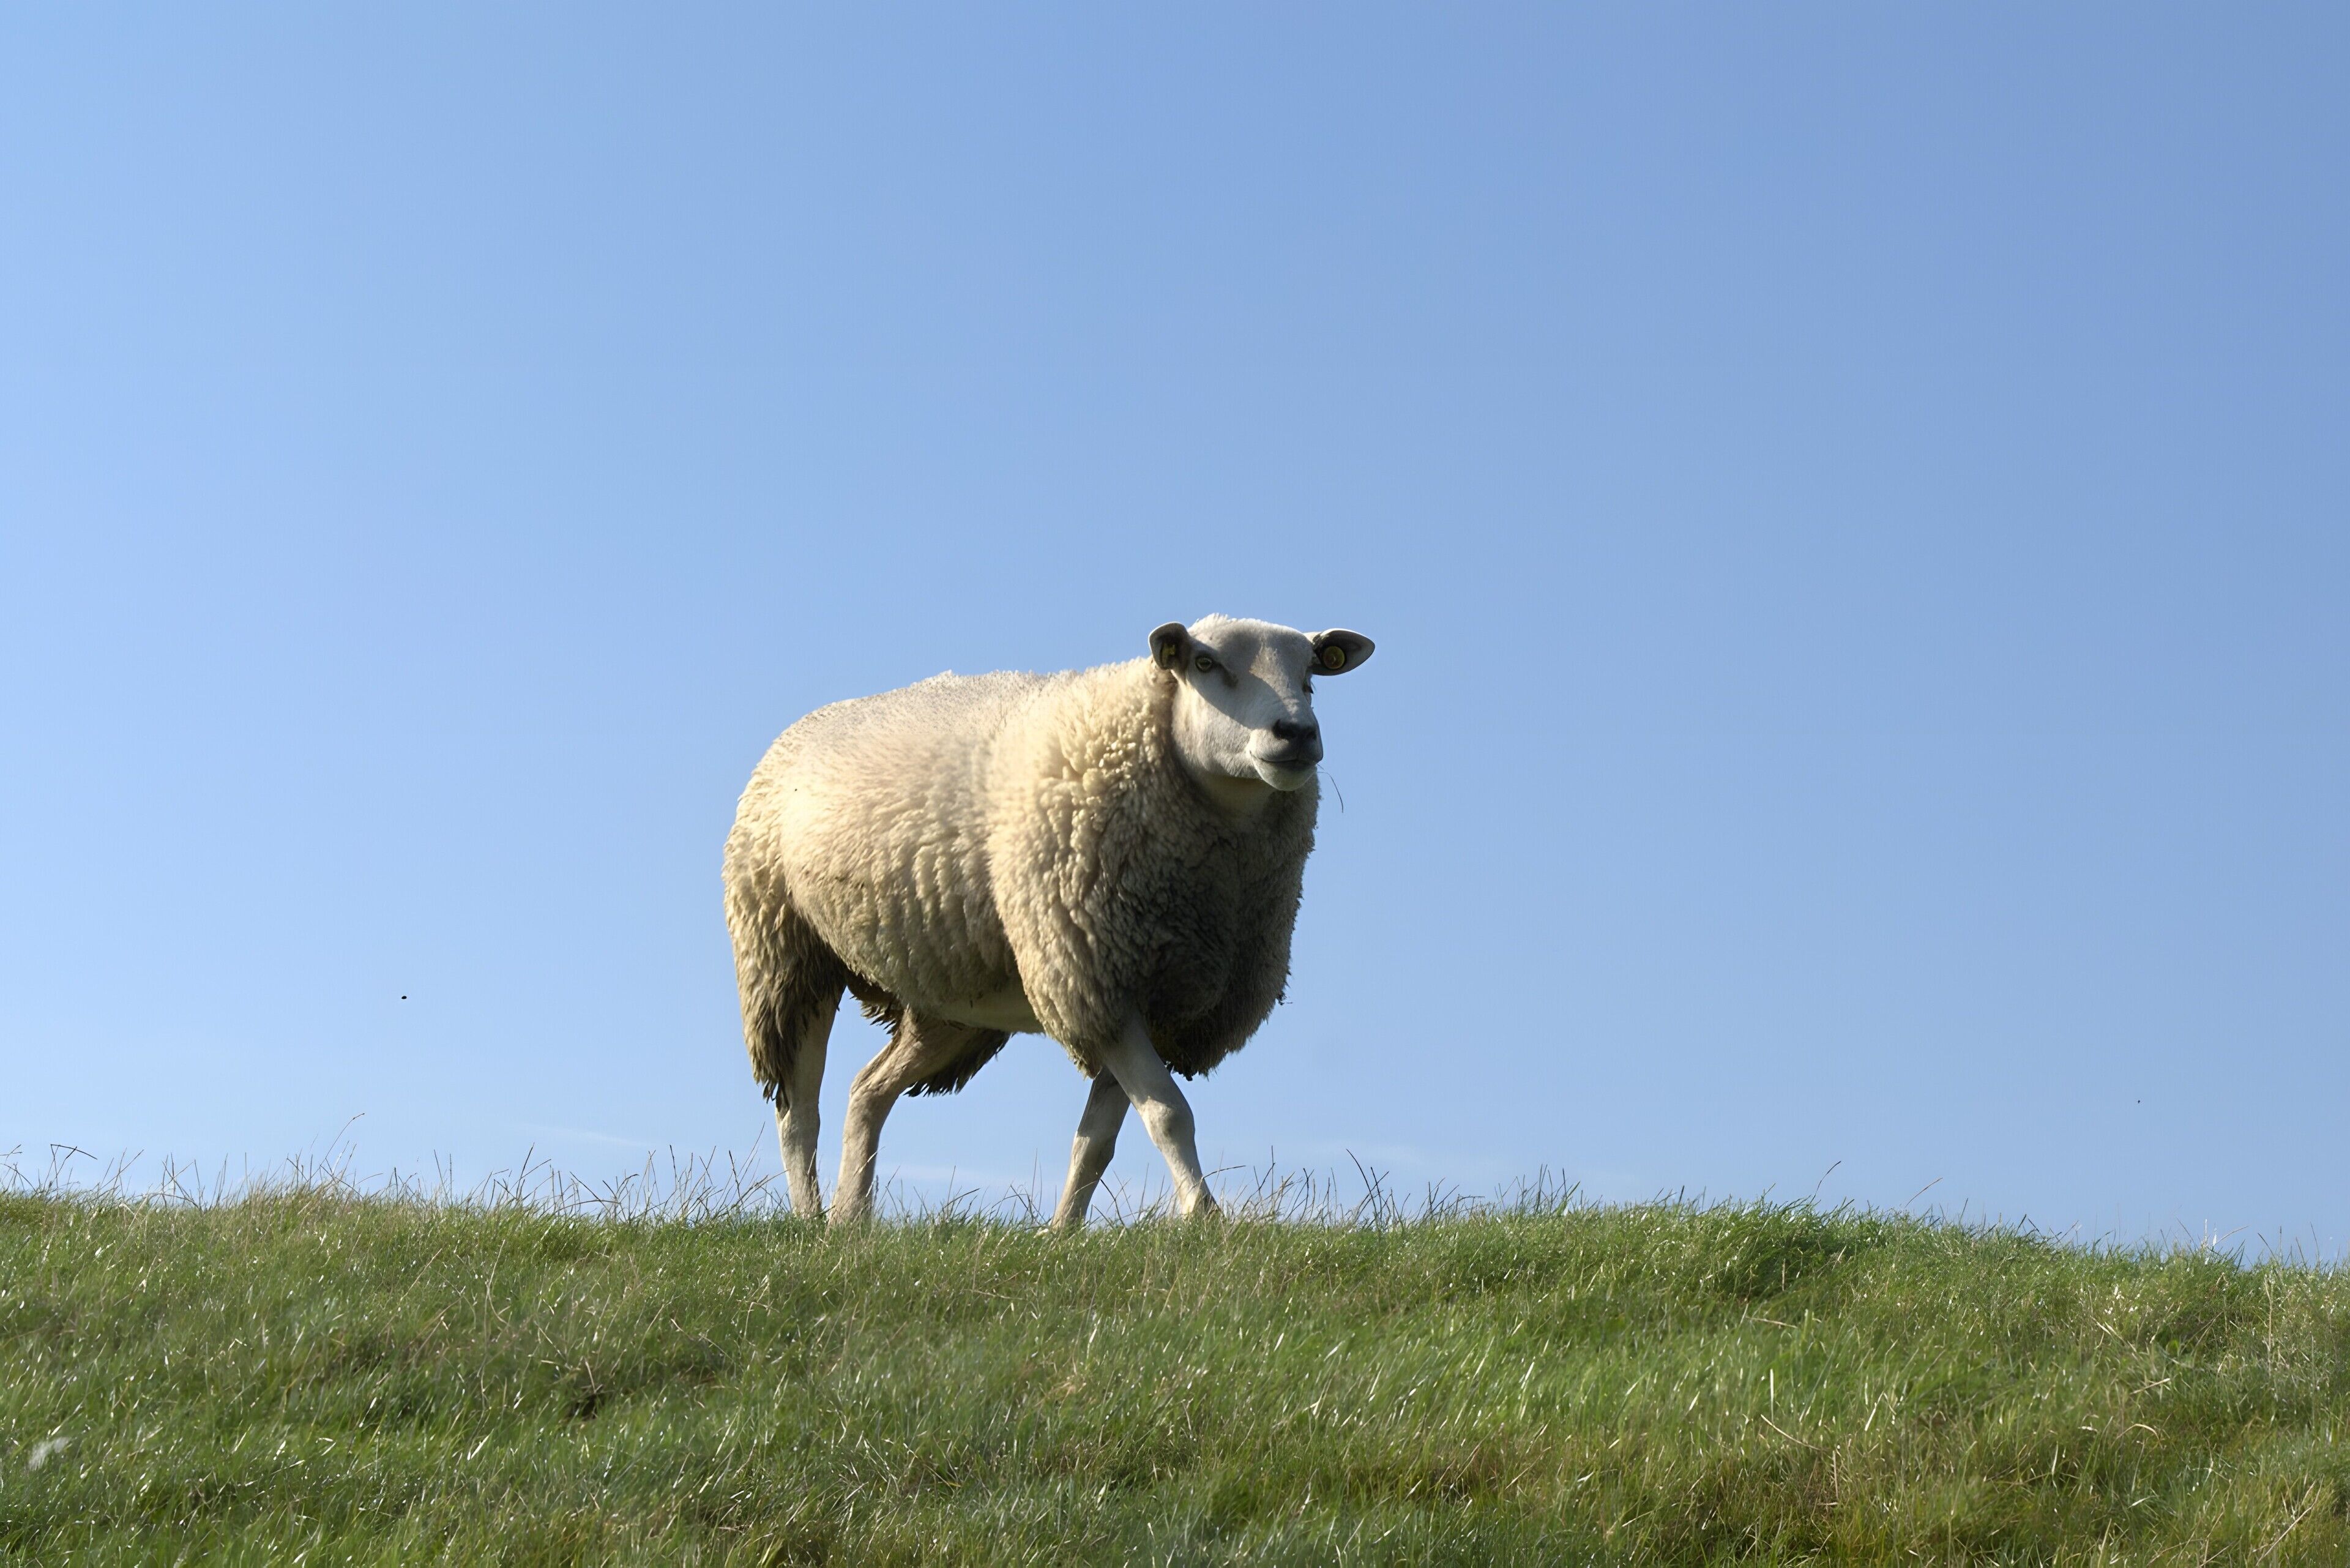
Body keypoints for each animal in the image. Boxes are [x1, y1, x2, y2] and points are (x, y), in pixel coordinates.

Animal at [722, 614, 1375, 1225]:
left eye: (1312, 674)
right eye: (1206, 663)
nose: (1296, 733)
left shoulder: (1148, 998)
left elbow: (1099, 1138)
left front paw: (1061, 1232)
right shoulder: (1093, 979)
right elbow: (1169, 1114)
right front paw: (1203, 1216)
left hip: (948, 1001)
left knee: (867, 1091)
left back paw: (852, 1219)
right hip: (786, 952)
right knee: (799, 1109)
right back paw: (810, 1219)